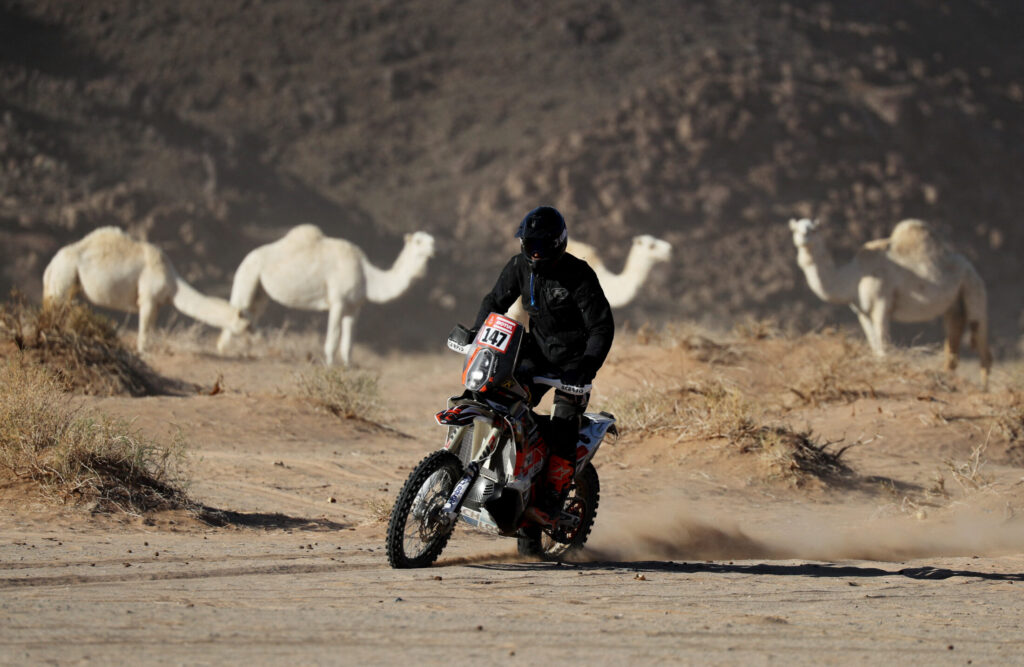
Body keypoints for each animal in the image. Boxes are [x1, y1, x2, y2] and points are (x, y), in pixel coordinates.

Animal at [41, 225, 249, 352]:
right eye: (247, 325)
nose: (250, 338)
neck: (173, 282)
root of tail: (50, 265)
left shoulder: (156, 304)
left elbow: (149, 329)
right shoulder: (148, 298)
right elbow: (144, 332)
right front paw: (143, 352)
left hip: (67, 282)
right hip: (64, 274)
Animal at [218, 227, 434, 368]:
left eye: (431, 239)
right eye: (418, 241)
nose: (433, 247)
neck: (367, 274)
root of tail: (248, 257)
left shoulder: (354, 307)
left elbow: (348, 343)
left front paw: (347, 367)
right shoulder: (338, 301)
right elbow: (334, 337)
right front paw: (329, 365)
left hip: (260, 292)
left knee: (250, 316)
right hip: (247, 275)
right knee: (233, 317)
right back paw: (226, 352)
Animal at [786, 216, 987, 389]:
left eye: (814, 229)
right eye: (795, 229)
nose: (804, 235)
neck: (855, 275)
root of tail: (971, 266)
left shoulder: (881, 303)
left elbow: (883, 346)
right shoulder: (862, 312)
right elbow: (874, 345)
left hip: (972, 285)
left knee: (979, 337)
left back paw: (984, 388)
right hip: (954, 304)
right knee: (954, 335)